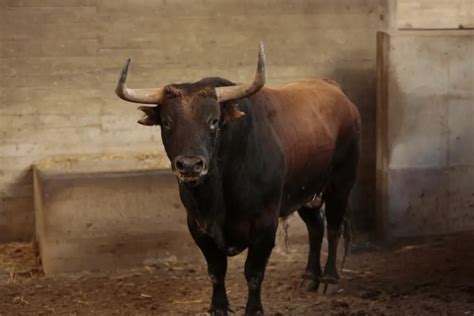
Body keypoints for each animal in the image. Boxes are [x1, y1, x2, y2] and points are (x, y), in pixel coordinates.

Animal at [115, 43, 360, 314]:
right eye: (167, 122)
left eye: (213, 121)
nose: (189, 165)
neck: (218, 192)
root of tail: (334, 89)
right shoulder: (198, 226)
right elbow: (216, 270)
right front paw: (218, 306)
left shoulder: (265, 225)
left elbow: (253, 272)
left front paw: (254, 308)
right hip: (306, 191)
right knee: (315, 227)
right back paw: (309, 278)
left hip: (341, 182)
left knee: (334, 228)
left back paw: (329, 279)